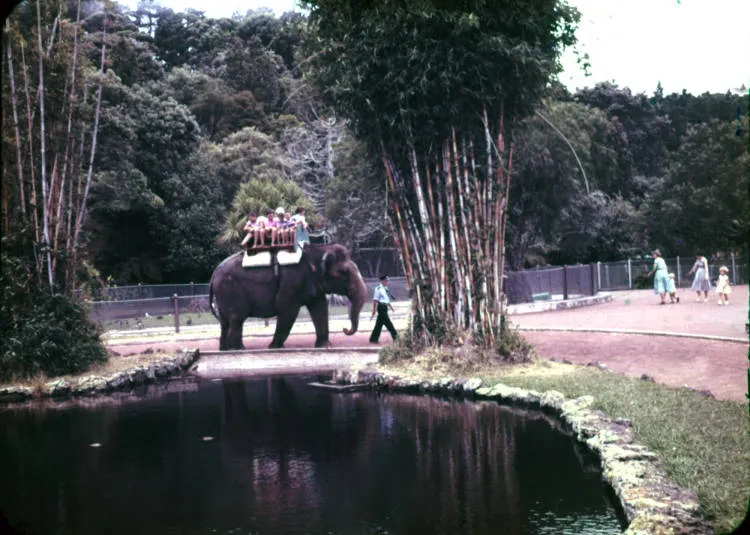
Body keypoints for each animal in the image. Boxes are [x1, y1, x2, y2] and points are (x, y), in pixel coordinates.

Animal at [209, 243, 368, 350]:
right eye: (345, 273)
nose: (345, 329)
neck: (320, 249)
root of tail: (213, 276)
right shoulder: (292, 280)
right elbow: (287, 309)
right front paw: (274, 347)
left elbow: (320, 308)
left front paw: (324, 346)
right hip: (229, 288)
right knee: (237, 319)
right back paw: (238, 349)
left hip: (223, 294)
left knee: (225, 322)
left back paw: (224, 349)